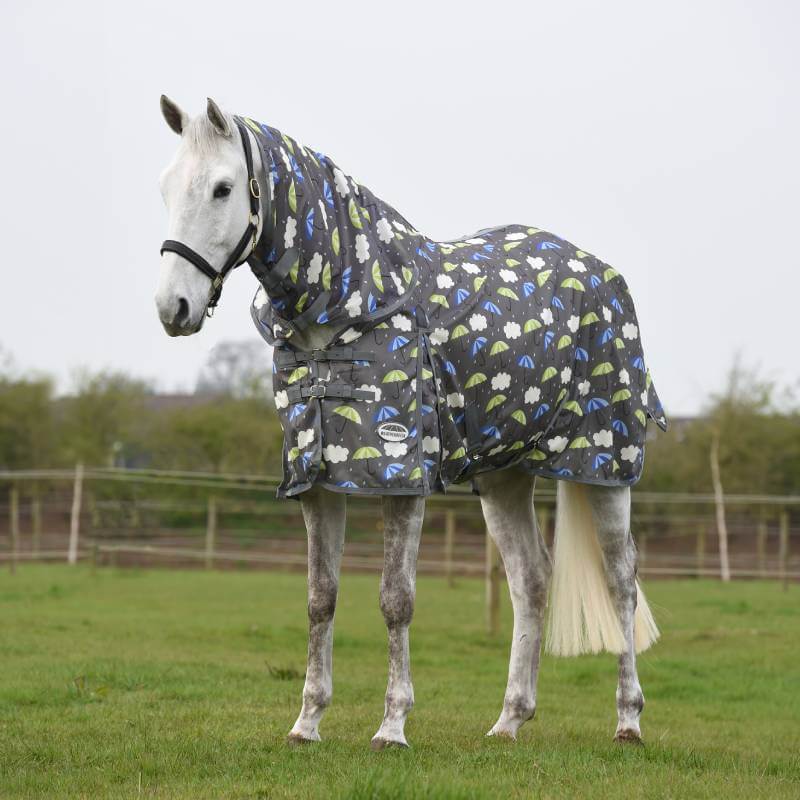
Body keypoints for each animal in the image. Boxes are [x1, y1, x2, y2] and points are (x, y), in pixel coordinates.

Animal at [155, 96, 666, 749]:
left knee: (621, 579)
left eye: (222, 188)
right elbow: (321, 599)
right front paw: (307, 722)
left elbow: (395, 599)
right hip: (504, 477)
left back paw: (628, 720)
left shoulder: (401, 475)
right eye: (167, 187)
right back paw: (509, 720)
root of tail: (602, 274)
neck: (351, 311)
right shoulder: (317, 482)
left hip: (605, 467)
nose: (173, 308)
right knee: (531, 579)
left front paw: (392, 725)